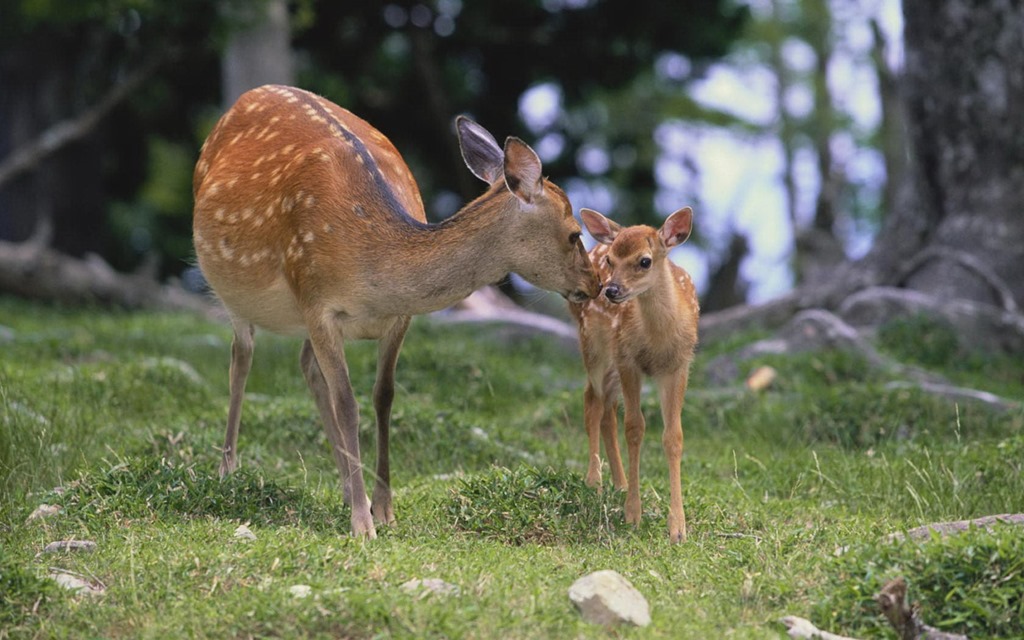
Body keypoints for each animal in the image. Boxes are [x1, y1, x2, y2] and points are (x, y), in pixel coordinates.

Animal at [192, 84, 599, 540]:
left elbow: (383, 396)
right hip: (233, 290)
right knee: (241, 359)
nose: (596, 285)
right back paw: (228, 470)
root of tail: (248, 96)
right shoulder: (316, 301)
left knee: (306, 366)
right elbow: (347, 403)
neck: (373, 269)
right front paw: (362, 524)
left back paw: (347, 488)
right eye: (574, 234)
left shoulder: (398, 318)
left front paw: (383, 509)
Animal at [569, 206, 699, 543]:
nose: (611, 290)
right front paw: (632, 515)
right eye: (611, 261)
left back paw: (620, 482)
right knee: (592, 401)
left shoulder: (679, 365)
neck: (657, 339)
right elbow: (635, 428)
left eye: (644, 261)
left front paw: (678, 528)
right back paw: (595, 481)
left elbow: (673, 436)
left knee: (607, 408)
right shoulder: (629, 360)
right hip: (594, 345)